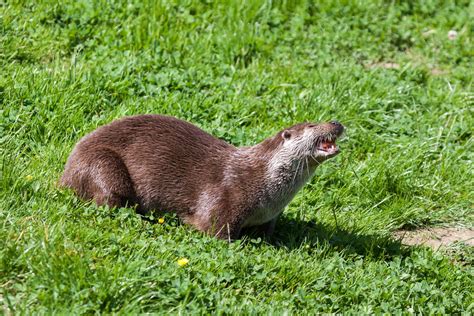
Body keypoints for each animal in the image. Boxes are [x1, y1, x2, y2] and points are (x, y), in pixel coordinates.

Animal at [62, 114, 344, 239]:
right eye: (312, 124)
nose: (336, 122)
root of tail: (65, 173)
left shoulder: (269, 217)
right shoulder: (225, 197)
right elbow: (214, 229)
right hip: (103, 164)